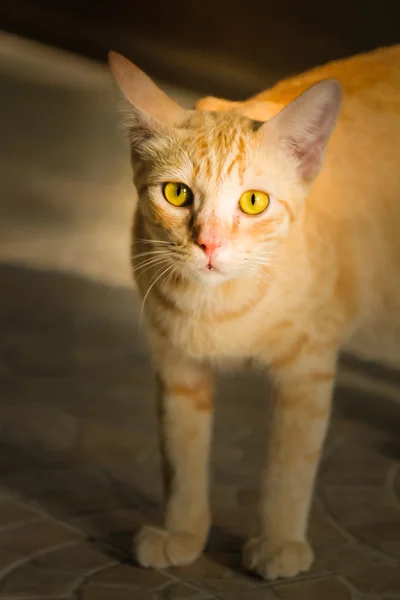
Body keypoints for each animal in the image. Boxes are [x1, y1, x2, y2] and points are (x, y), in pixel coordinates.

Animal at [108, 47, 400, 580]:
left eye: (254, 201)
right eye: (177, 194)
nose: (209, 243)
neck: (220, 307)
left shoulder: (309, 367)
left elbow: (291, 463)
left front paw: (281, 540)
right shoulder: (176, 367)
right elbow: (181, 456)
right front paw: (184, 532)